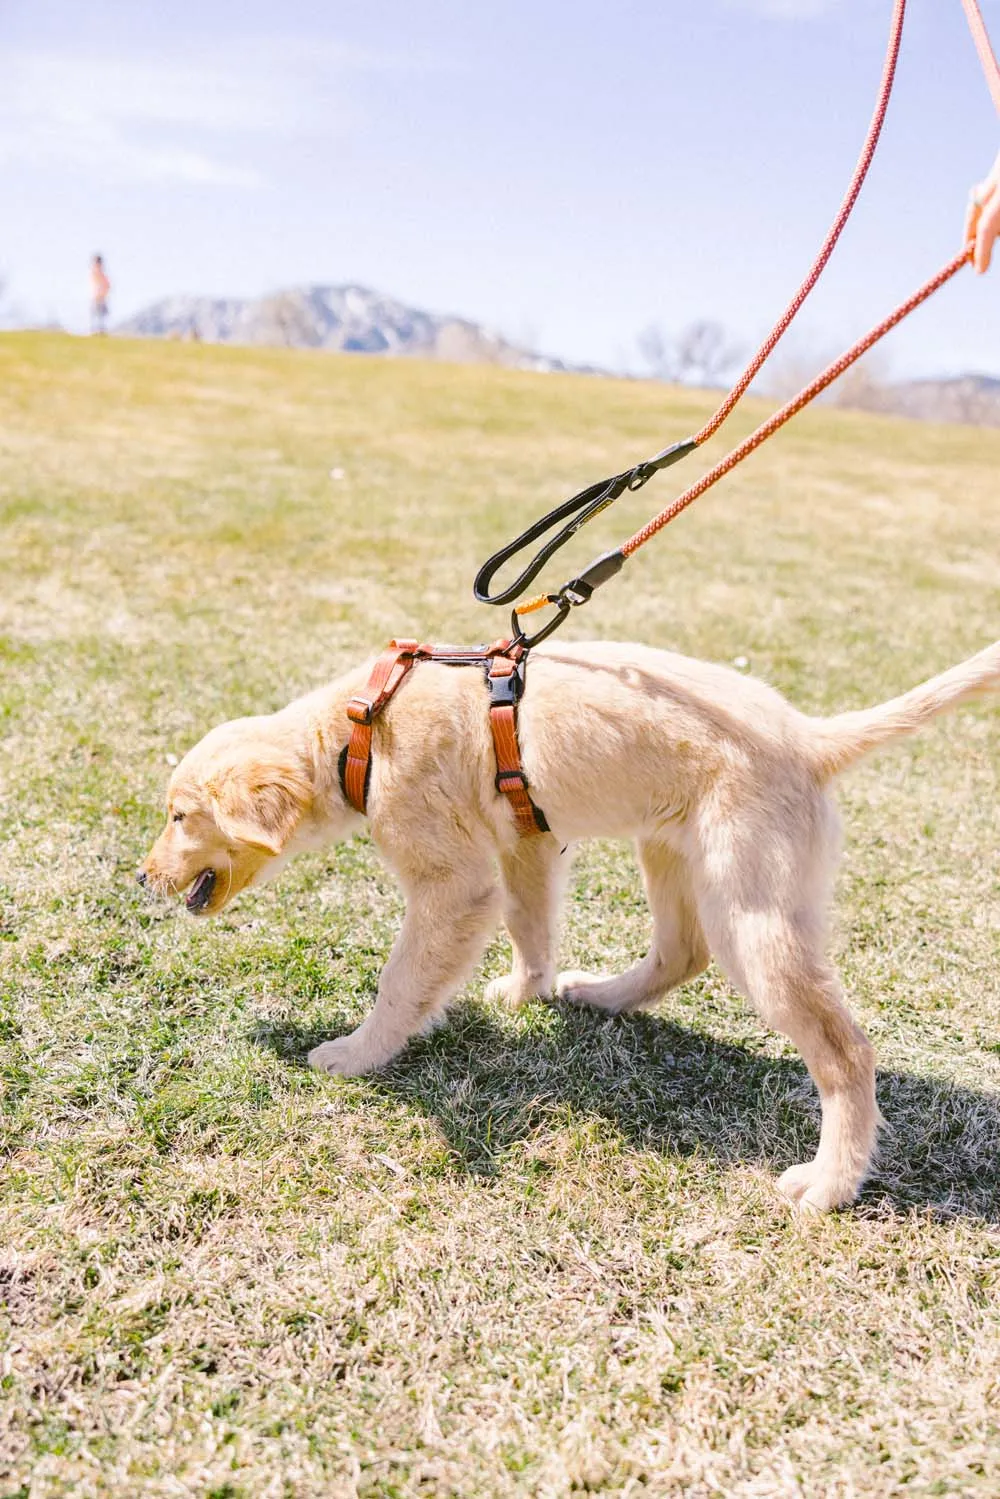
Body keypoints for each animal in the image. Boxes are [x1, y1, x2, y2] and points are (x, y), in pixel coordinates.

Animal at [138, 638, 1000, 1211]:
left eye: (180, 816)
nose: (141, 878)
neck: (361, 728)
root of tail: (811, 737)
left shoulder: (455, 883)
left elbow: (402, 980)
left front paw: (357, 1054)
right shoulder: (527, 841)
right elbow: (532, 926)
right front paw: (526, 992)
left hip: (751, 910)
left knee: (845, 1052)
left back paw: (829, 1183)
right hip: (669, 849)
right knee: (679, 952)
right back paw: (596, 996)